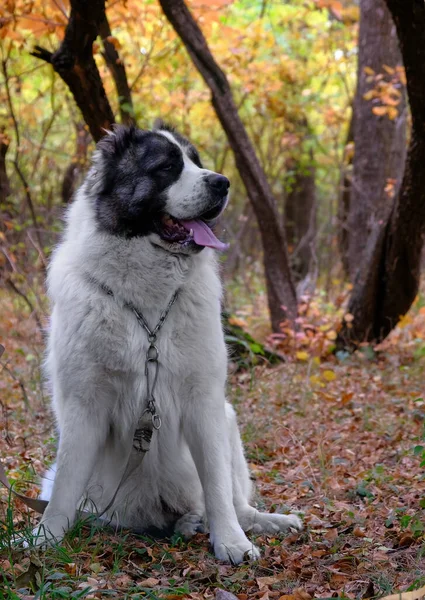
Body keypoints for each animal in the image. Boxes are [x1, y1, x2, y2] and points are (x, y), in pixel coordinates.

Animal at [35, 122, 302, 564]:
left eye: (196, 161)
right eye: (166, 167)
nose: (223, 182)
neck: (147, 307)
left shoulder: (205, 402)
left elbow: (217, 486)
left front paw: (230, 543)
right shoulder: (83, 407)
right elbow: (64, 487)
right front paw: (45, 539)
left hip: (228, 420)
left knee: (236, 500)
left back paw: (262, 521)